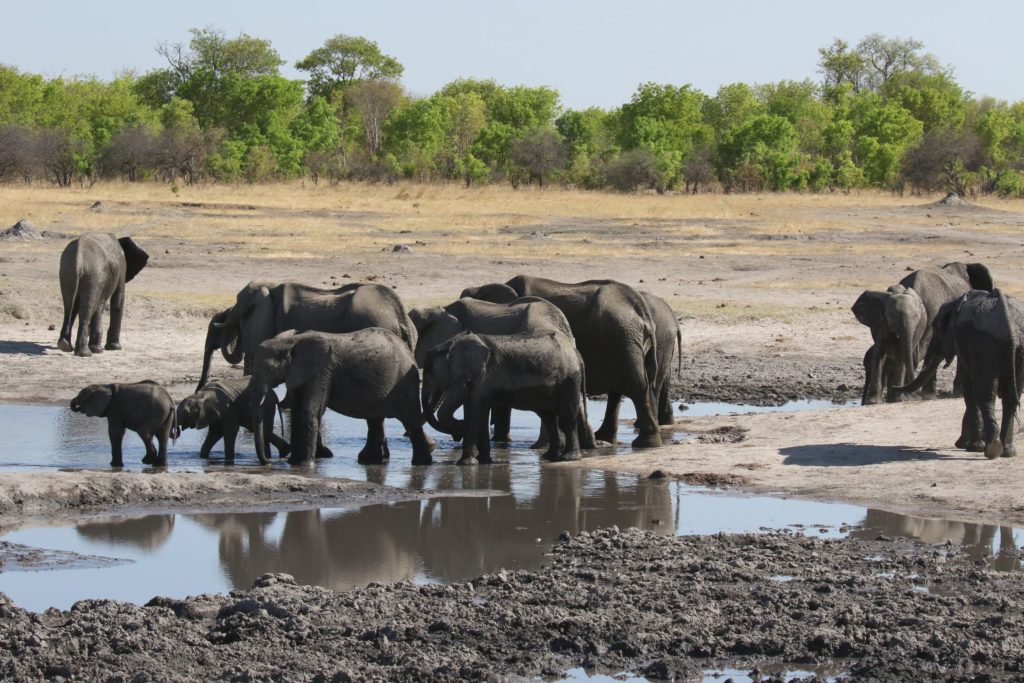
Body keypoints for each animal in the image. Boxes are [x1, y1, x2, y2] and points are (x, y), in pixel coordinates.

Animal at [251, 327, 436, 466]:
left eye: (269, 369)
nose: (268, 462)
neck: (291, 342)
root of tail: (408, 351)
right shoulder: (300, 374)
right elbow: (297, 412)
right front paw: (294, 463)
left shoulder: (322, 371)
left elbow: (309, 410)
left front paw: (303, 465)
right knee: (375, 420)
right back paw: (369, 460)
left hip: (404, 382)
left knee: (409, 419)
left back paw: (422, 460)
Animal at [458, 274, 663, 450]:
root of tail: (642, 310)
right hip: (627, 341)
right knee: (622, 390)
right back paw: (605, 439)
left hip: (623, 338)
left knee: (636, 385)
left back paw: (644, 443)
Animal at [897, 288, 1024, 458]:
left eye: (936, 328)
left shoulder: (965, 346)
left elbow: (969, 389)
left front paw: (972, 447)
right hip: (1016, 347)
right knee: (1010, 396)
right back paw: (1008, 452)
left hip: (985, 344)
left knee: (985, 395)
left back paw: (992, 449)